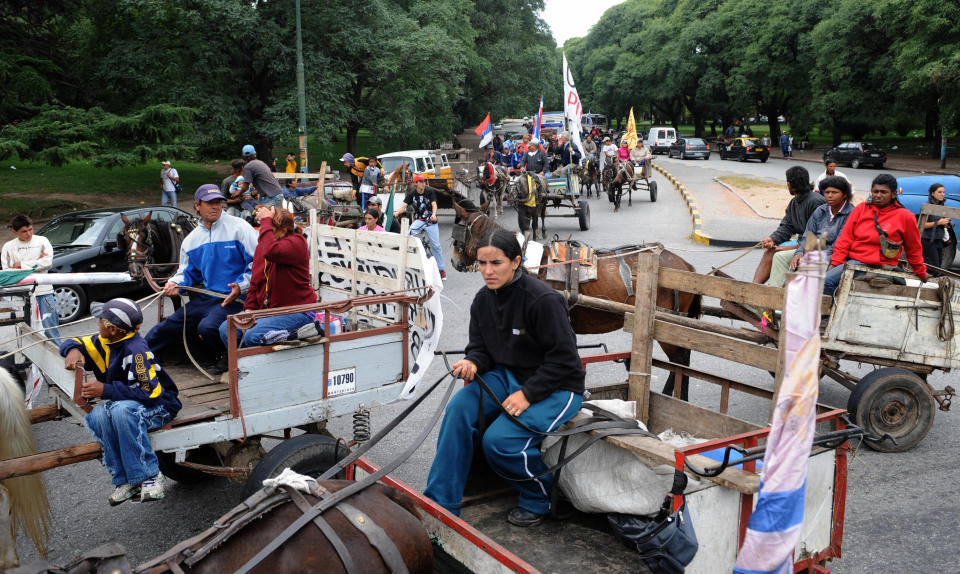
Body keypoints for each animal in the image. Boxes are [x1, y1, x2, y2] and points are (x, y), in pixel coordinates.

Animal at [446, 205, 700, 402]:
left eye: (457, 233)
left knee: (679, 360)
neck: (533, 265)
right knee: (682, 361)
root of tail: (686, 266)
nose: (454, 261)